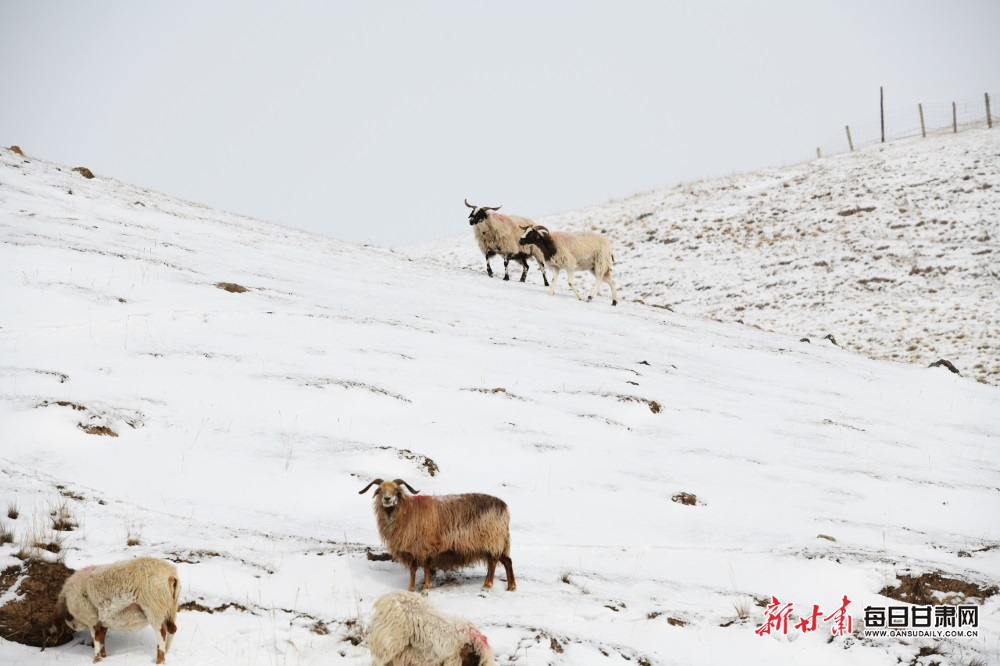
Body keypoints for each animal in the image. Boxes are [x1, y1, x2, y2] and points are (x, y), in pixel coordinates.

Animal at [50, 556, 181, 660]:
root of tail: (170, 574)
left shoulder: (91, 618)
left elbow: (96, 639)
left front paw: (96, 660)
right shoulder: (102, 621)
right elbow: (101, 639)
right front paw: (104, 657)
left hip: (154, 609)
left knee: (162, 633)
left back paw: (159, 660)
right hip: (170, 608)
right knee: (172, 630)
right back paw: (165, 652)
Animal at [360, 478, 516, 592]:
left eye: (396, 490)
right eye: (380, 490)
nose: (387, 499)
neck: (406, 511)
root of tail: (504, 507)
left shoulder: (424, 545)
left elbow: (426, 566)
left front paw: (427, 586)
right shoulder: (412, 549)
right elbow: (413, 569)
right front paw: (411, 588)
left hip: (491, 539)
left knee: (493, 562)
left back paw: (487, 585)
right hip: (500, 540)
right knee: (507, 561)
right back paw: (511, 587)